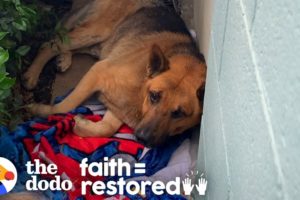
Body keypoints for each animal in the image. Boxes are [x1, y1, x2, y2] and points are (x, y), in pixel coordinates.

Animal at [23, 0, 206, 147]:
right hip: (96, 32)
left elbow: (106, 129)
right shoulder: (97, 72)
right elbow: (66, 105)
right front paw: (40, 110)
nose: (142, 138)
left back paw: (64, 59)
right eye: (154, 96)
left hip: (102, 43)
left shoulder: (119, 107)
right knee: (52, 43)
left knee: (66, 43)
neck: (141, 88)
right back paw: (31, 75)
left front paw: (81, 125)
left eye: (179, 113)